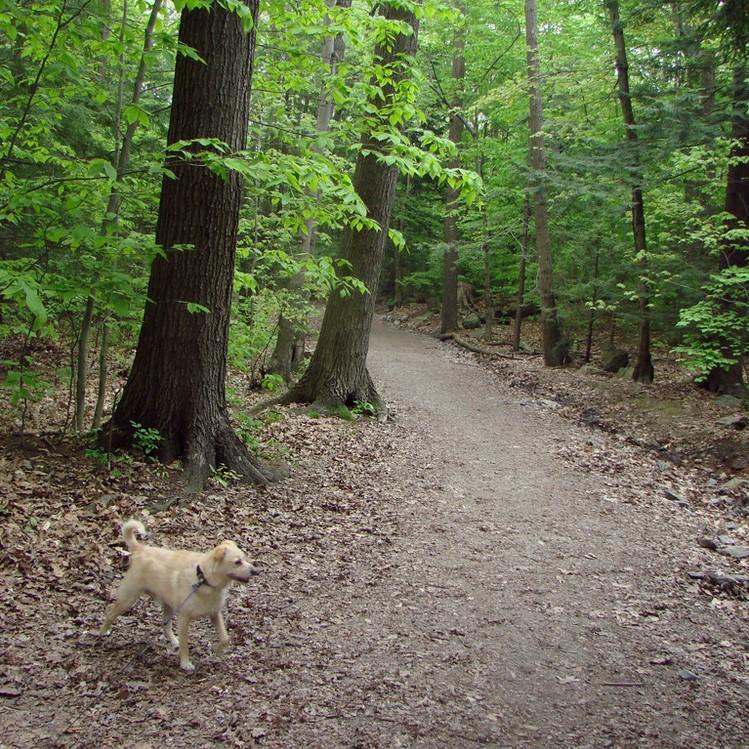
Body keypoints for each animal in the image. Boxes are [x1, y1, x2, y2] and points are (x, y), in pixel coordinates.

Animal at [100, 520, 258, 672]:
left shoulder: (214, 613)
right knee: (110, 615)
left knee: (166, 626)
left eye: (245, 559)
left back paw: (173, 641)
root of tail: (141, 549)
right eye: (237, 562)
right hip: (127, 599)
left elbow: (225, 637)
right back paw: (102, 633)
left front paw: (218, 650)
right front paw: (185, 663)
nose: (256, 571)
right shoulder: (183, 619)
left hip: (168, 606)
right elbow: (185, 644)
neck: (204, 580)